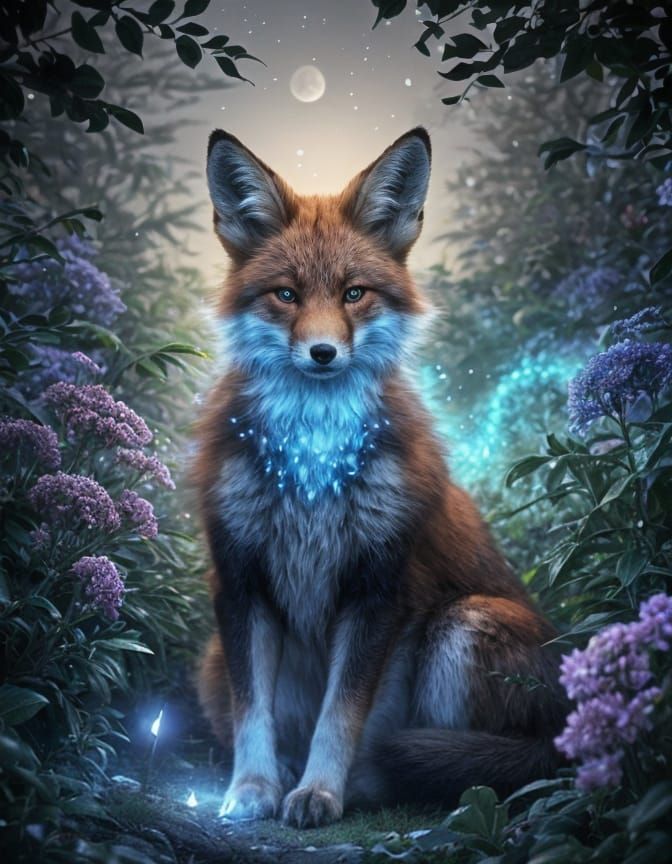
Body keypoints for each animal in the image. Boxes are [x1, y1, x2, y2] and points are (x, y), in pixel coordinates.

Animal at [195, 127, 567, 829]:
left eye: (353, 293)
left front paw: (321, 792)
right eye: (286, 294)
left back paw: (378, 783)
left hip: (466, 624)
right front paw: (252, 790)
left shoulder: (381, 587)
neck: (312, 464)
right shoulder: (240, 582)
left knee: (472, 772)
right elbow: (255, 715)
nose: (322, 353)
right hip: (210, 662)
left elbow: (343, 716)